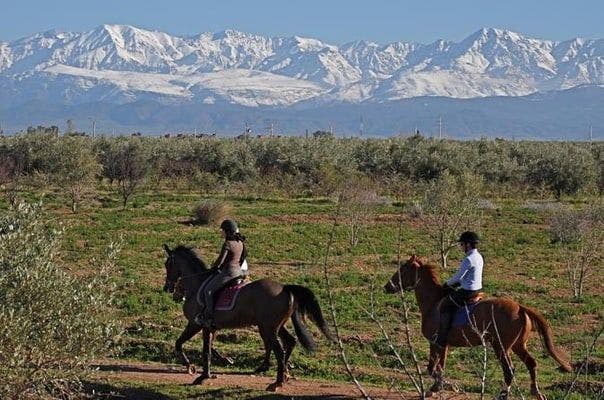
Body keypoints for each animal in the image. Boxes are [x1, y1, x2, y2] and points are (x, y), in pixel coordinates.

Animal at [160, 244, 336, 390]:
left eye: (168, 264)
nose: (167, 288)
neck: (196, 285)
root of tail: (285, 288)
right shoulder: (210, 327)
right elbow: (209, 348)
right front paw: (215, 367)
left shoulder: (196, 325)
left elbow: (186, 345)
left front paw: (192, 368)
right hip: (275, 327)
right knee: (290, 342)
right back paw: (283, 374)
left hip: (268, 328)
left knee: (279, 350)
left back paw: (276, 382)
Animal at [384, 255, 572, 398]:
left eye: (402, 270)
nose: (386, 287)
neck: (433, 304)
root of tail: (520, 307)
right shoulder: (444, 345)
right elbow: (440, 367)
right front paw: (439, 387)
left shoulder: (435, 342)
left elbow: (432, 368)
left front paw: (439, 388)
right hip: (518, 345)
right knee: (531, 363)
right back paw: (536, 392)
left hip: (501, 346)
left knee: (509, 370)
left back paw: (503, 394)